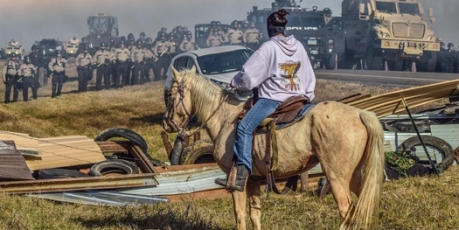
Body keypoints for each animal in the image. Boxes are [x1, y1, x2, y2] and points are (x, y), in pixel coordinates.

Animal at [164, 66, 386, 228]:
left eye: (171, 95)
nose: (167, 123)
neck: (225, 118)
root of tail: (360, 113)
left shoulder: (235, 180)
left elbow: (240, 216)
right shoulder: (253, 181)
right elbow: (255, 216)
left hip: (337, 177)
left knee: (347, 212)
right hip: (355, 176)